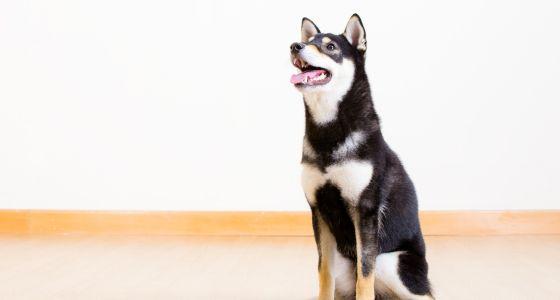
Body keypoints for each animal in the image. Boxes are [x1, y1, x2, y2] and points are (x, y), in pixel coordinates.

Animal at [290, 14, 436, 300]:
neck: (328, 132)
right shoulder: (318, 211)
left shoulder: (365, 210)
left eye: (330, 47)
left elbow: (365, 275)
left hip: (390, 261)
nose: (295, 46)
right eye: (308, 40)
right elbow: (323, 273)